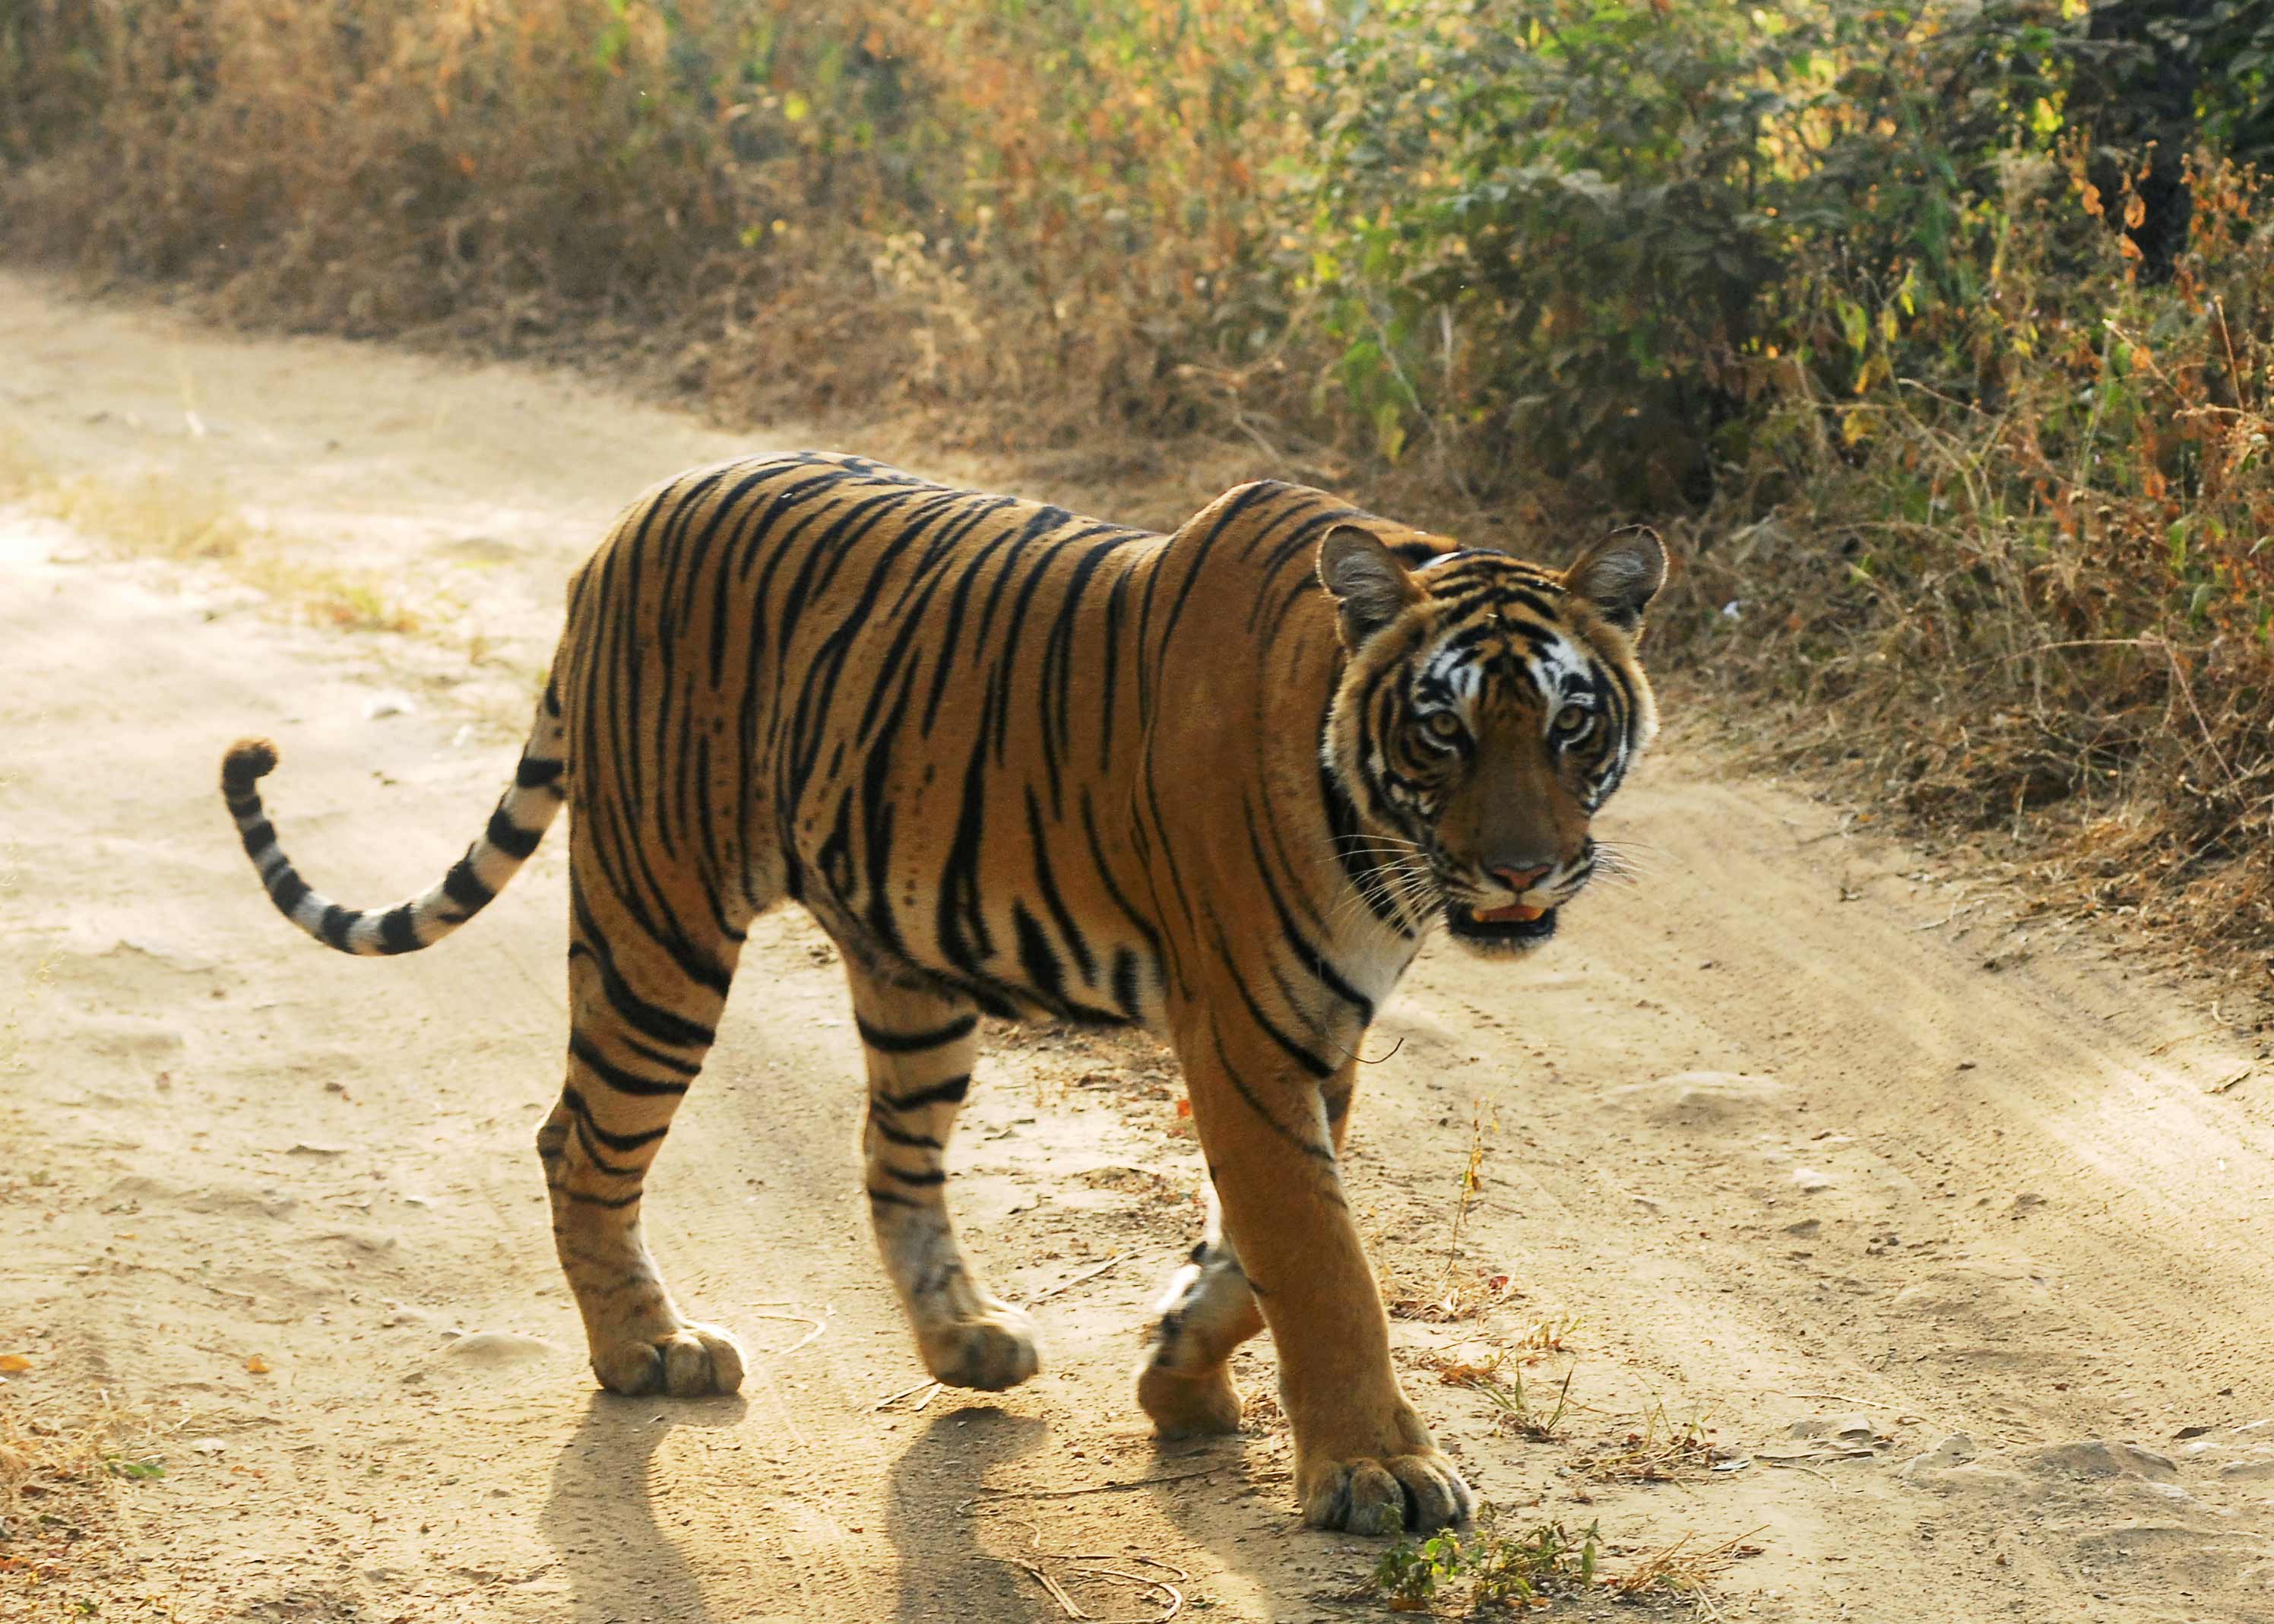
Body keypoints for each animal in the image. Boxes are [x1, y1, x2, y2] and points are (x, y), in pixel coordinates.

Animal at [221, 445, 1664, 1528]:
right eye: (1444, 730)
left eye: (1568, 724)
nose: (1524, 869)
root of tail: (625, 523)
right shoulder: (1248, 1036)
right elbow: (1323, 1262)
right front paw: (1377, 1472)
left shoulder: (1318, 1035)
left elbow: (1258, 1251)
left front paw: (1179, 1370)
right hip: (661, 923)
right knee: (579, 1137)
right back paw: (647, 1348)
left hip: (908, 970)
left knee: (888, 1160)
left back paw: (965, 1343)